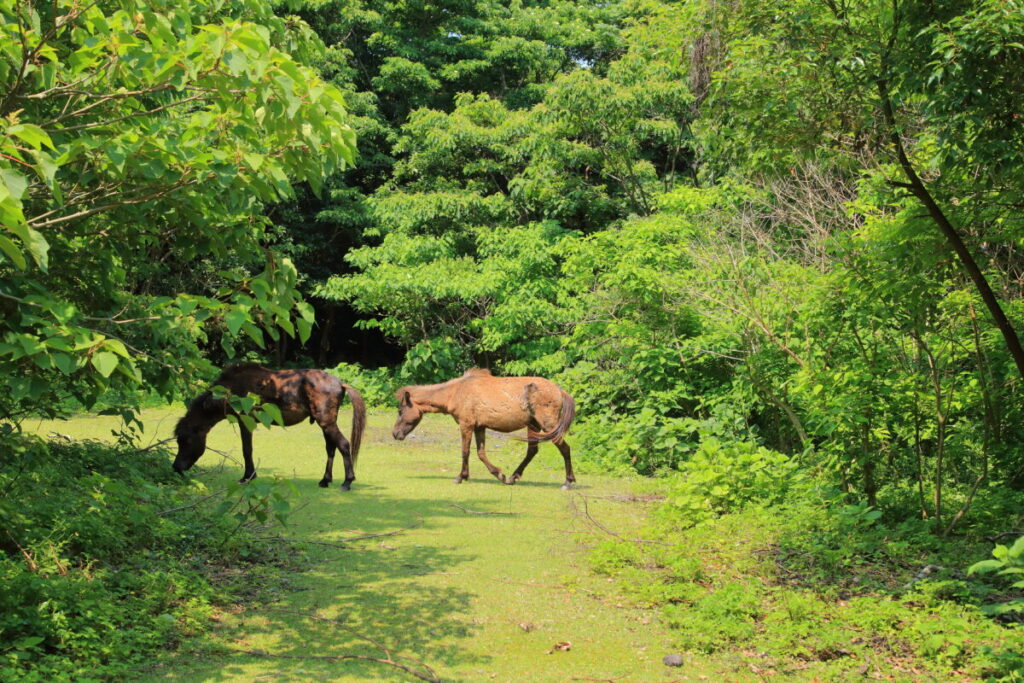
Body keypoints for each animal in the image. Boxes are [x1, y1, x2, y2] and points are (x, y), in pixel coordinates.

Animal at [173, 364, 366, 490]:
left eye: (186, 440)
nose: (176, 467)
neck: (231, 389)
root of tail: (340, 383)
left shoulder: (245, 421)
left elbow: (247, 450)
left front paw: (247, 477)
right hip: (325, 424)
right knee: (331, 449)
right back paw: (325, 481)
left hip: (327, 423)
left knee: (343, 445)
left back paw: (347, 481)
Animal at [392, 368, 577, 489]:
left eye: (400, 410)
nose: (395, 434)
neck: (456, 392)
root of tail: (559, 391)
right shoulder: (479, 427)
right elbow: (481, 453)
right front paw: (499, 474)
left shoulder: (466, 425)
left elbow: (465, 451)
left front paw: (460, 477)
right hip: (533, 425)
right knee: (532, 451)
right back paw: (512, 477)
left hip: (548, 425)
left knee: (565, 448)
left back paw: (568, 482)